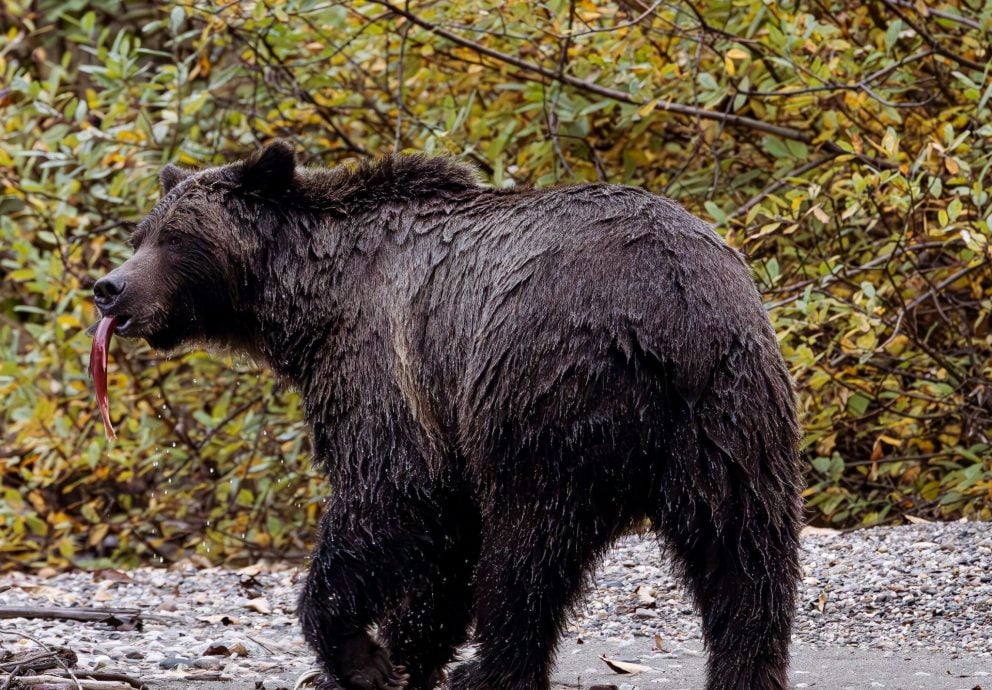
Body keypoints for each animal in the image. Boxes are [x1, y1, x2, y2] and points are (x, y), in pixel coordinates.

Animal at [93, 141, 804, 688]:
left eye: (177, 238)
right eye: (140, 234)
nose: (108, 287)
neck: (311, 304)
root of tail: (669, 312)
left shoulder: (387, 363)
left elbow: (391, 494)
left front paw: (360, 655)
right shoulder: (443, 413)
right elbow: (444, 541)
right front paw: (405, 655)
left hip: (546, 393)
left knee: (527, 550)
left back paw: (492, 670)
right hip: (733, 416)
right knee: (746, 555)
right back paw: (746, 667)